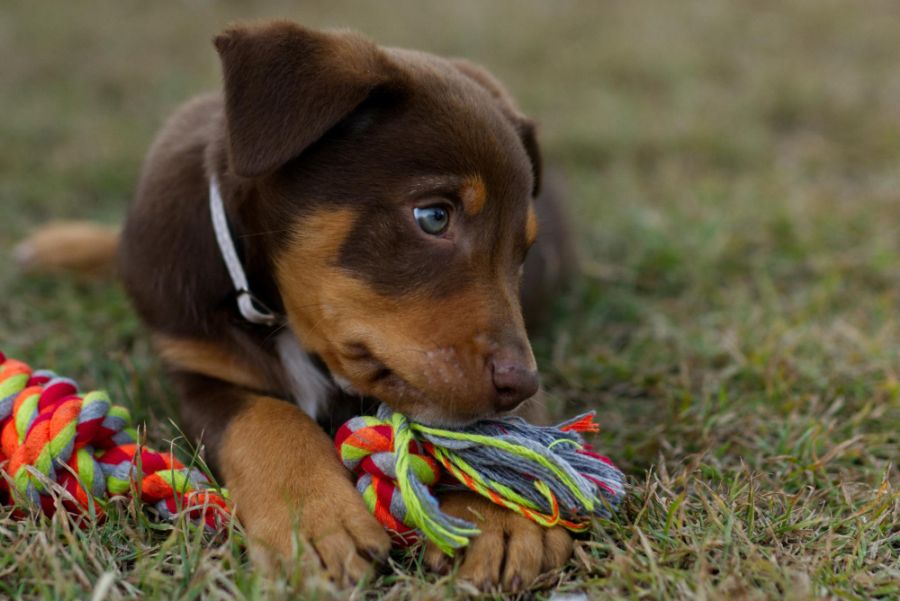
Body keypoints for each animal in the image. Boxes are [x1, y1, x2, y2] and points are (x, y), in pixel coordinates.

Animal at [15, 21, 576, 588]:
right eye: (434, 217)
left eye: (522, 252)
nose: (521, 383)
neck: (275, 310)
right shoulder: (196, 368)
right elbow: (267, 418)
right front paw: (316, 520)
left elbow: (513, 436)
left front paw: (506, 516)